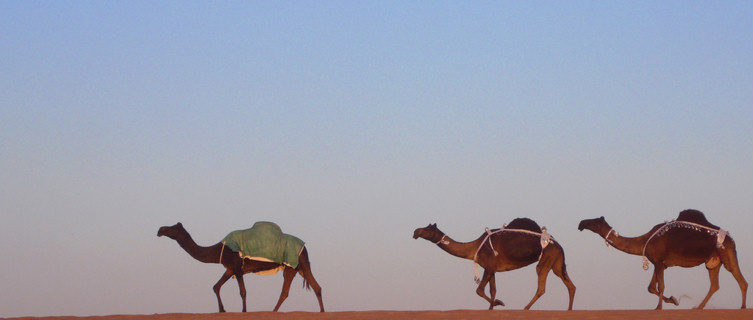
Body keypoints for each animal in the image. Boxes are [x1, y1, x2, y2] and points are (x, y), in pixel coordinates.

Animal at [156, 222, 324, 312]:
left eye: (172, 228)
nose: (160, 230)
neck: (220, 249)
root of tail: (304, 246)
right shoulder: (230, 268)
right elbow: (216, 286)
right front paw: (222, 310)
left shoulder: (237, 267)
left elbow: (242, 291)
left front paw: (243, 311)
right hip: (298, 267)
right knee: (314, 287)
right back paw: (321, 311)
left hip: (295, 263)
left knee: (289, 290)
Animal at [412, 218, 576, 310]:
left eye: (427, 229)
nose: (415, 232)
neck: (474, 247)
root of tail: (558, 245)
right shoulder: (491, 269)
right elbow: (492, 290)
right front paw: (492, 307)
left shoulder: (489, 266)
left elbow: (479, 290)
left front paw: (499, 303)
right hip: (557, 262)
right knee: (570, 285)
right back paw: (568, 310)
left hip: (546, 258)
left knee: (541, 286)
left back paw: (525, 308)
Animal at [576, 209, 748, 308]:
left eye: (594, 221)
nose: (581, 223)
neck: (645, 240)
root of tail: (731, 238)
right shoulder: (659, 263)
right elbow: (651, 287)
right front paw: (674, 300)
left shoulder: (659, 262)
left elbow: (661, 286)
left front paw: (659, 307)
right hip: (713, 261)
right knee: (715, 285)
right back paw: (698, 307)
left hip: (727, 253)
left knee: (741, 280)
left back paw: (742, 307)